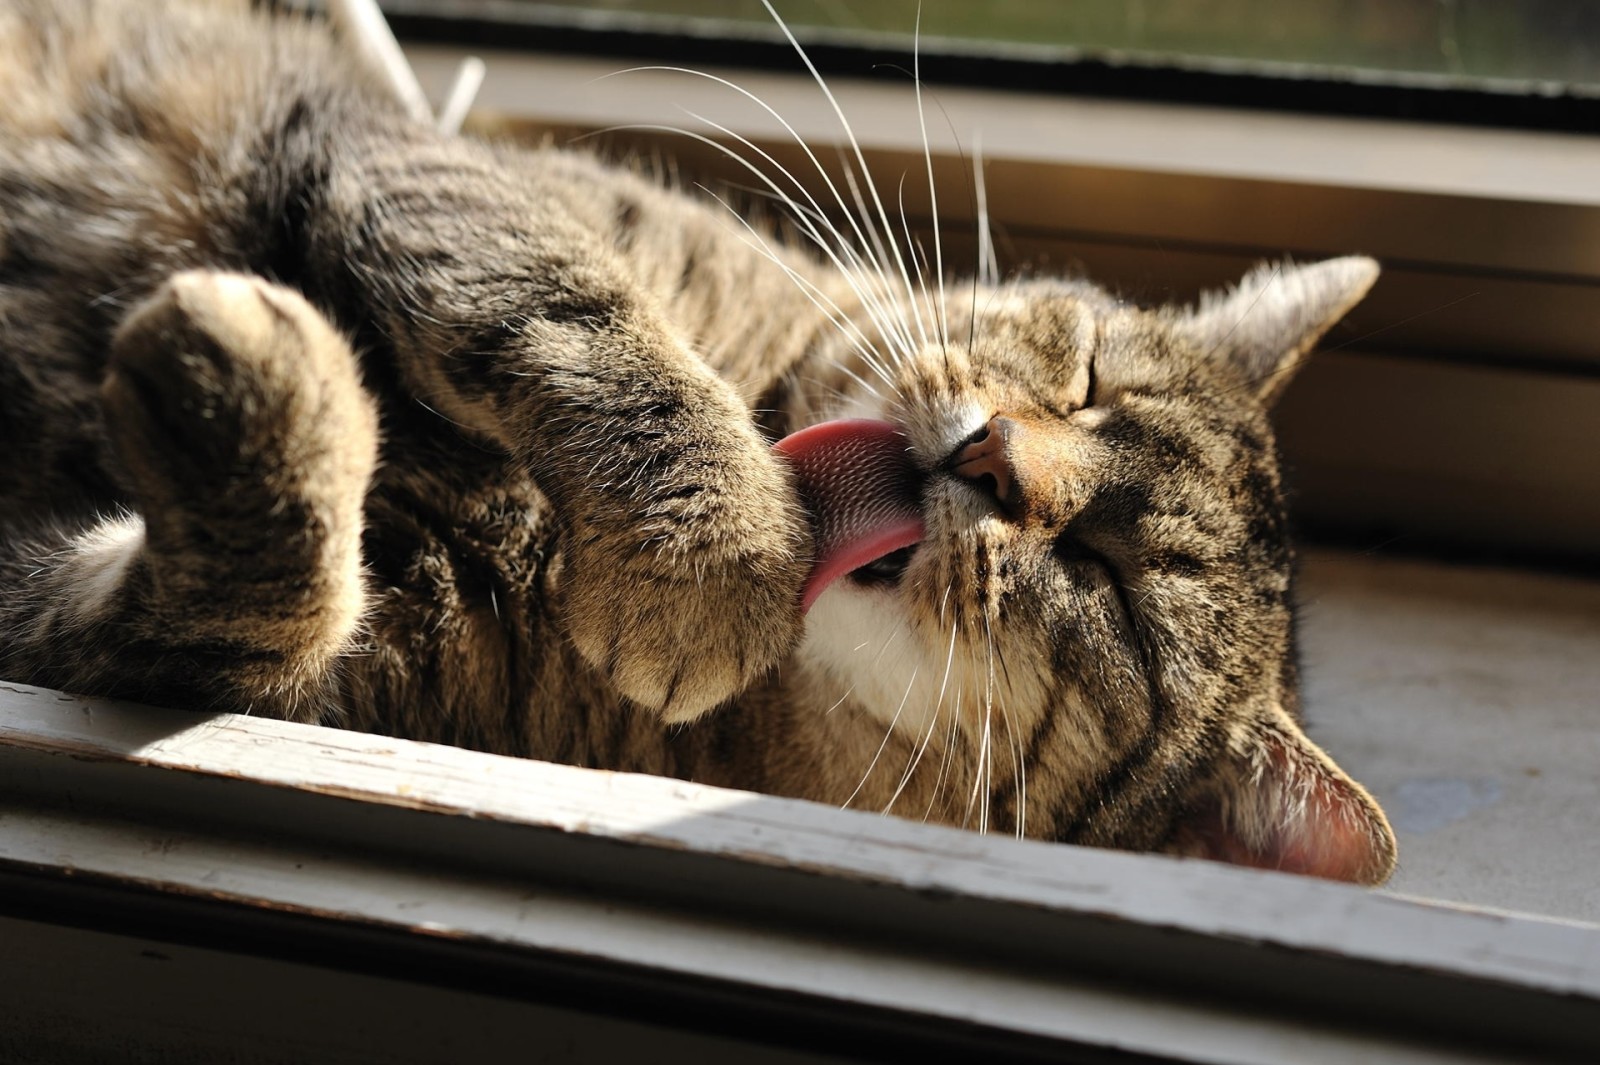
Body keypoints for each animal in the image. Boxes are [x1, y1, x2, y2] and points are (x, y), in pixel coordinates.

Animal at [0, 0, 1401, 876]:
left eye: (1116, 598)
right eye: (1084, 375)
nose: (994, 455)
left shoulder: (300, 673)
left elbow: (247, 613)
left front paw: (238, 383)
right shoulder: (423, 166)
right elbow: (568, 300)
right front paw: (709, 537)